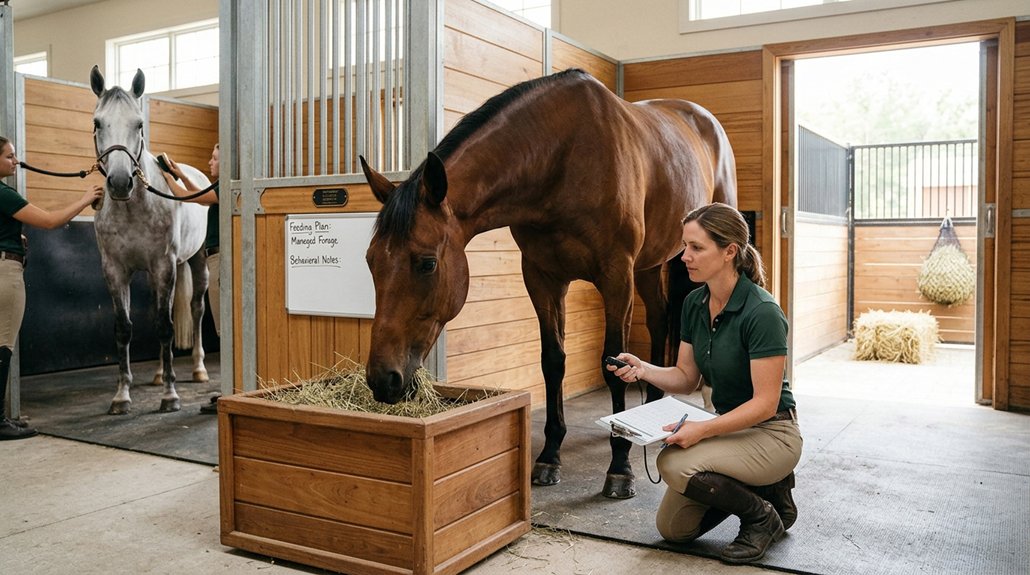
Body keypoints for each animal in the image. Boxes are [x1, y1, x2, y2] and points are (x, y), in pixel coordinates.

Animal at [89, 65, 210, 415]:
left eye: (139, 124)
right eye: (97, 123)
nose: (119, 182)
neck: (134, 208)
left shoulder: (164, 265)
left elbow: (165, 326)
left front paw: (170, 396)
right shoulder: (115, 270)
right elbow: (125, 327)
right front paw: (122, 396)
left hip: (196, 261)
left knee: (195, 309)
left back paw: (197, 369)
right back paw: (158, 374)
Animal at [359, 68, 736, 499]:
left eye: (427, 263)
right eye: (371, 260)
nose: (383, 380)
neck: (562, 159)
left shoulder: (616, 275)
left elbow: (613, 364)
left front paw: (620, 467)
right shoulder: (542, 276)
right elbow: (552, 362)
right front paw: (549, 457)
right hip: (650, 262)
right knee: (659, 321)